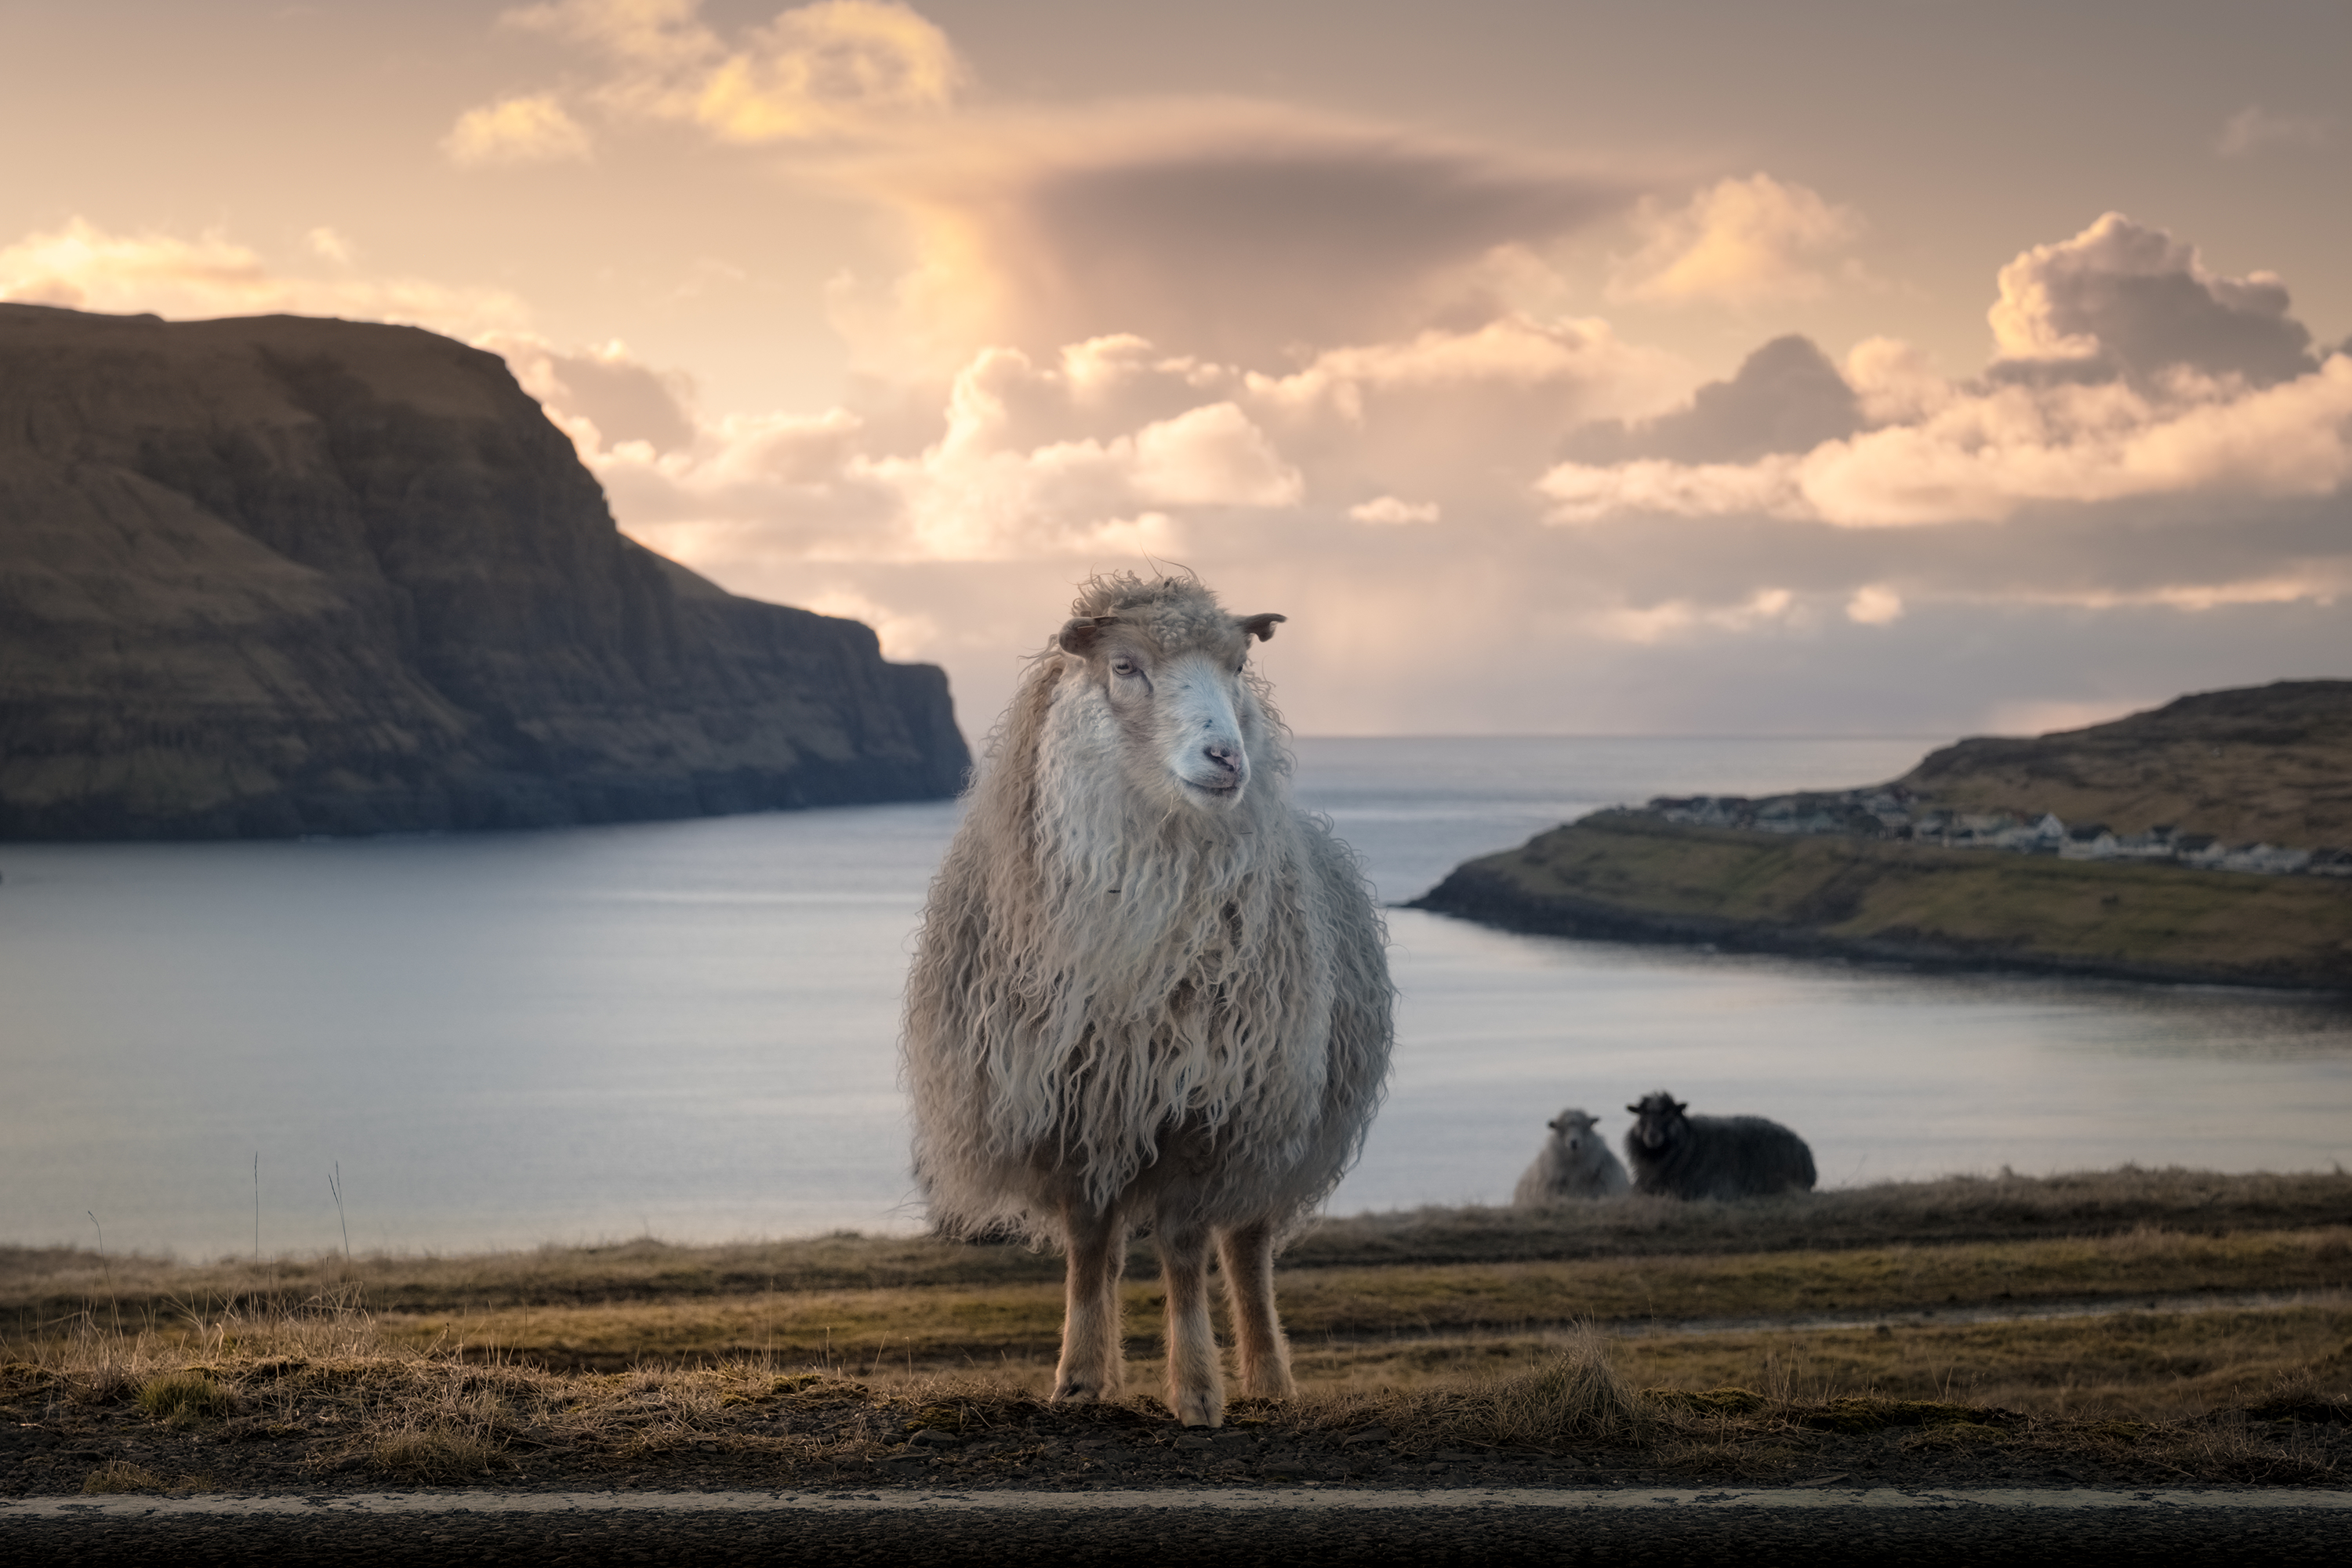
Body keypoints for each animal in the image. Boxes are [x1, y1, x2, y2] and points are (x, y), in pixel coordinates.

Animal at [902, 572, 1393, 1428]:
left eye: (1238, 666)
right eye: (1125, 665)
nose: (1226, 756)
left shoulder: (1204, 1111)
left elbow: (1188, 1250)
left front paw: (1196, 1390)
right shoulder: (1071, 1106)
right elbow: (1087, 1250)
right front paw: (1077, 1378)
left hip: (1272, 1122)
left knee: (1247, 1249)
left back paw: (1269, 1378)